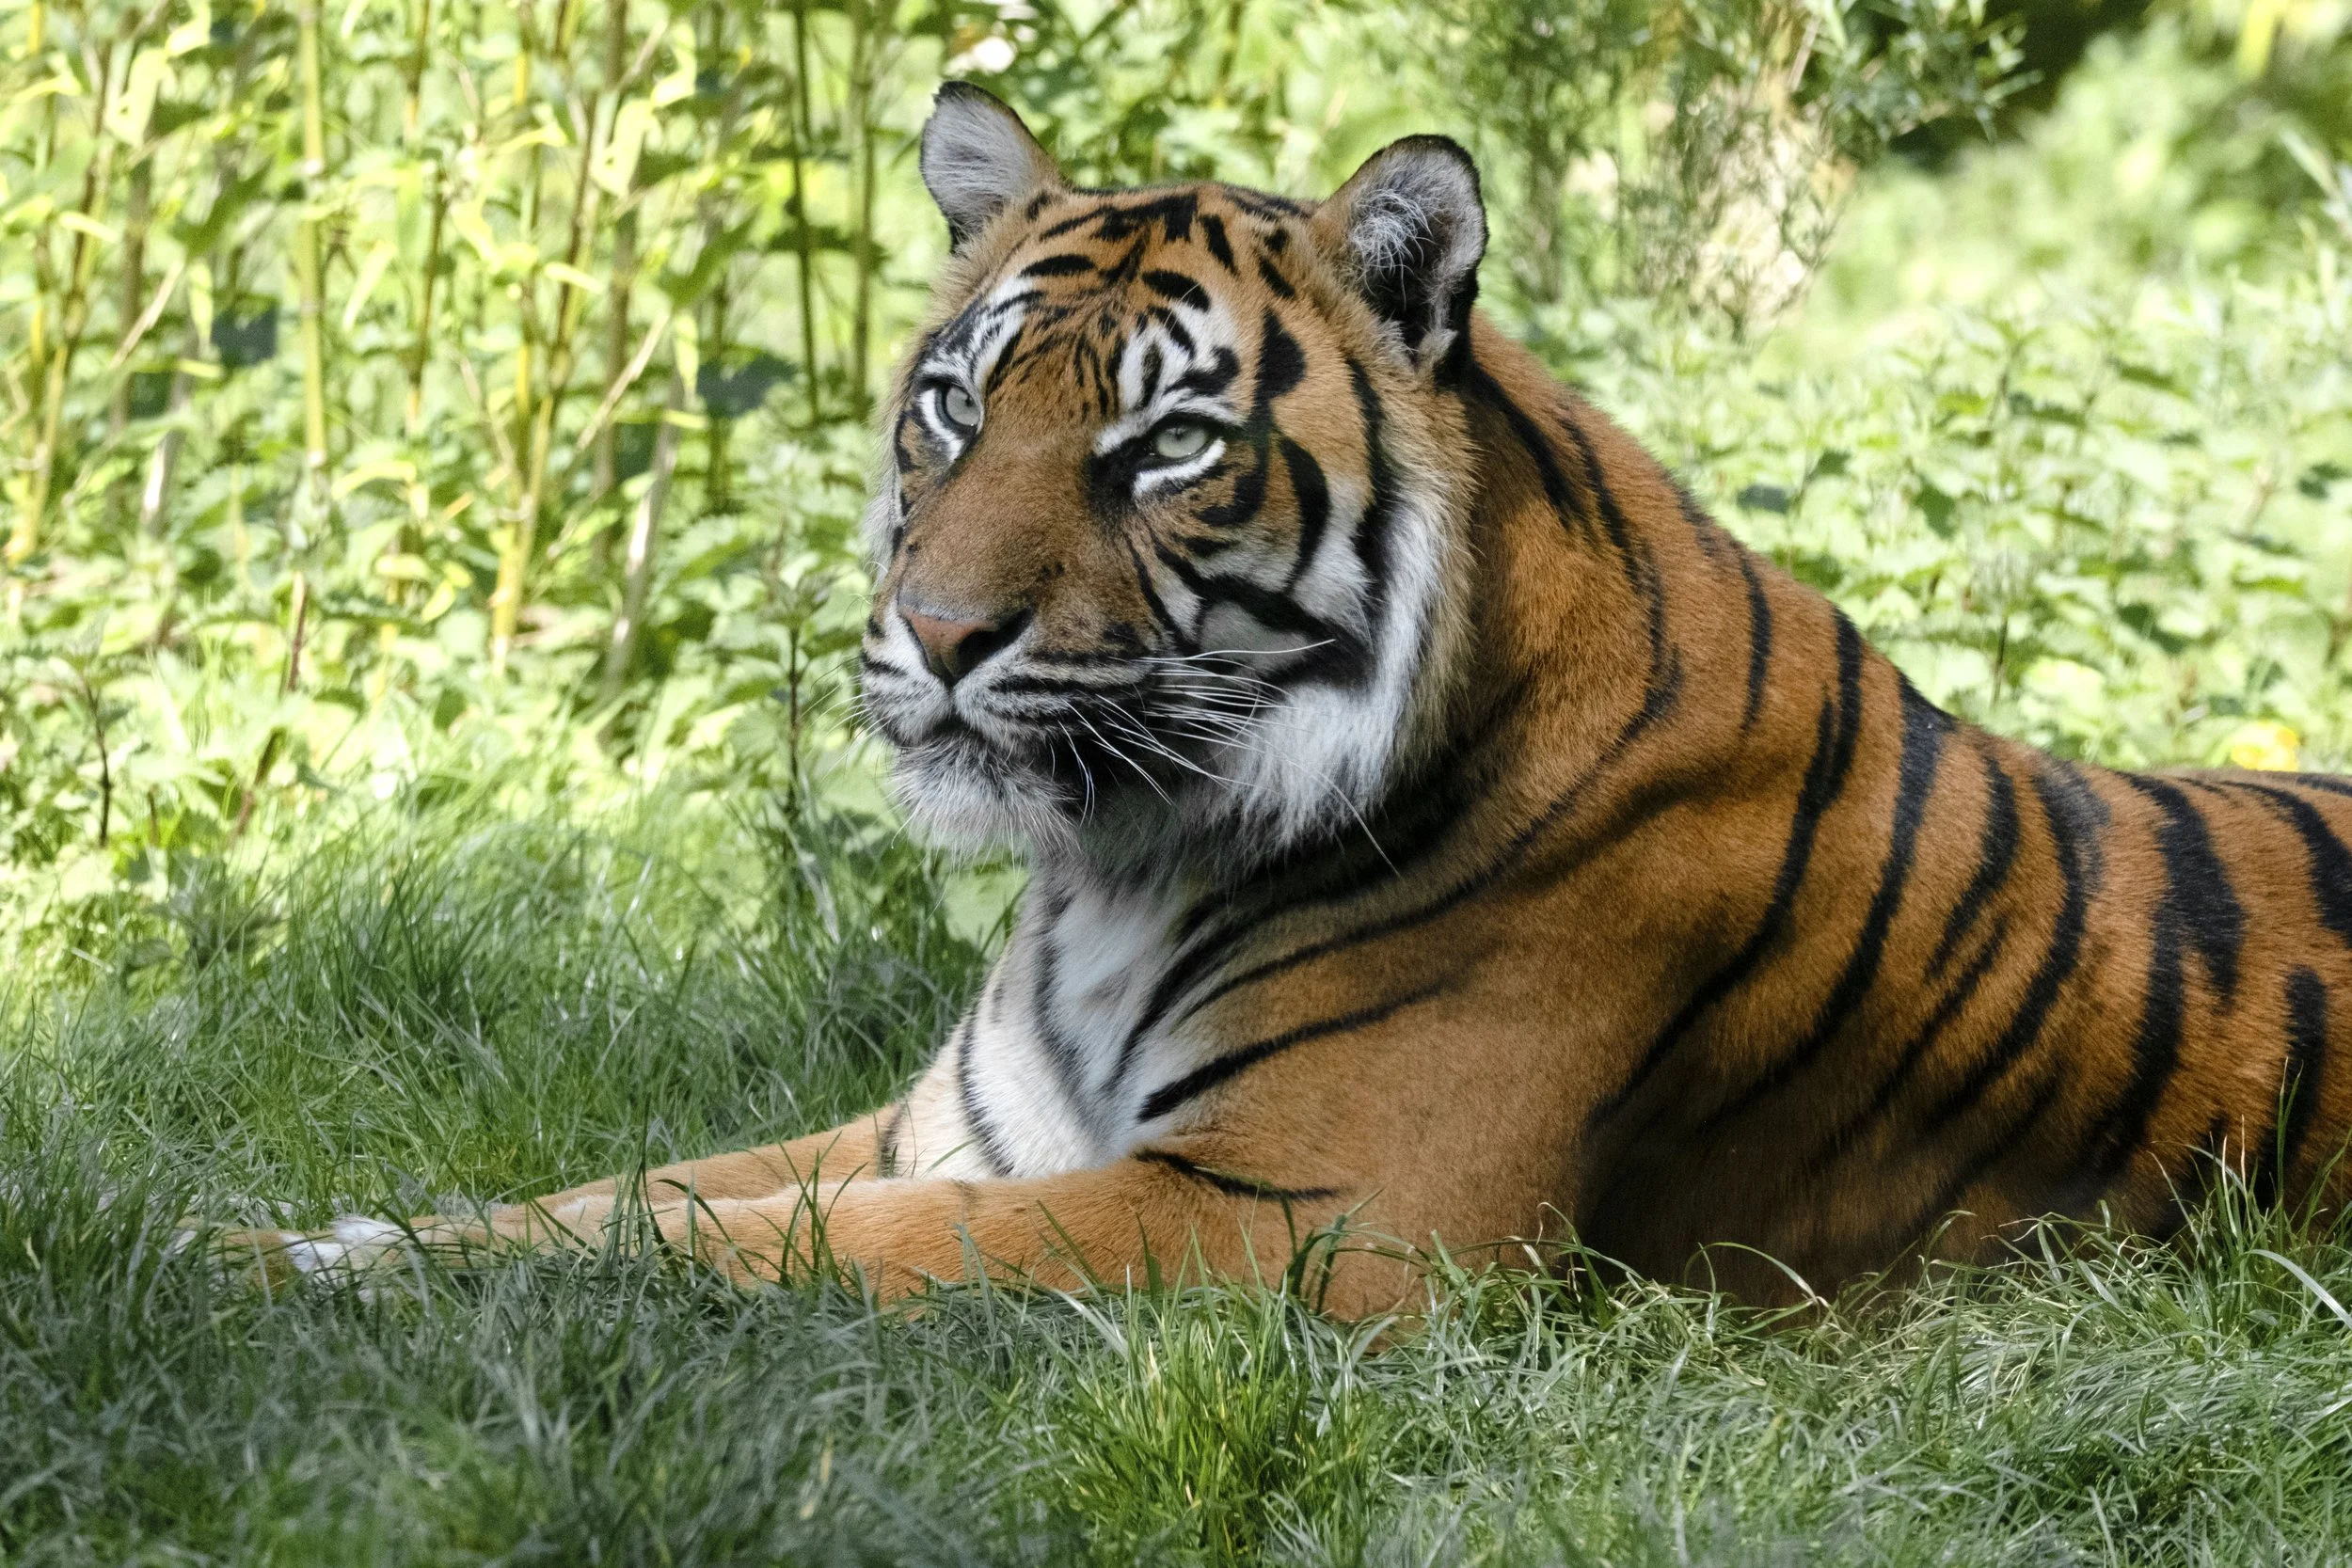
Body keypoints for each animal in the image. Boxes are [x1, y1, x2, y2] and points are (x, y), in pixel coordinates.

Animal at [220, 83, 2352, 1312]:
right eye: (954, 407)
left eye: (1165, 444)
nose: (936, 632)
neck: (1111, 866)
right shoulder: (945, 1133)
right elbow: (603, 1191)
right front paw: (272, 1240)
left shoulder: (1301, 1209)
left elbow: (750, 1246)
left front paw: (295, 1285)